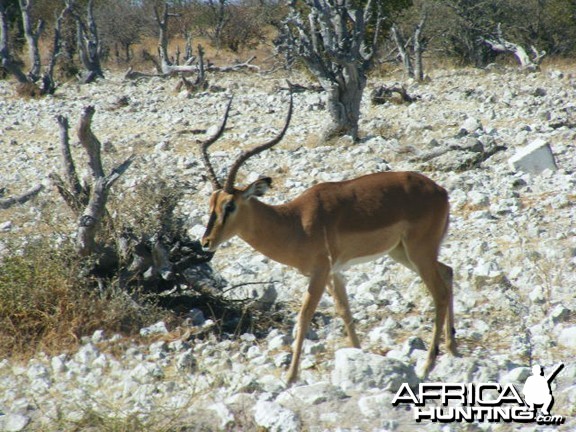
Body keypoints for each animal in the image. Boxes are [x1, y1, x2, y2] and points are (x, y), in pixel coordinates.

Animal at [200, 93, 456, 384]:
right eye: (211, 203)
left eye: (230, 205)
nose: (206, 242)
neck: (294, 222)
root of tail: (441, 191)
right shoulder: (335, 272)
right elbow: (345, 311)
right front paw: (359, 356)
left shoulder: (320, 272)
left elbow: (304, 316)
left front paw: (290, 377)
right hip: (403, 253)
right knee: (448, 272)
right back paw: (452, 347)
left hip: (418, 253)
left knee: (439, 293)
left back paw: (426, 366)